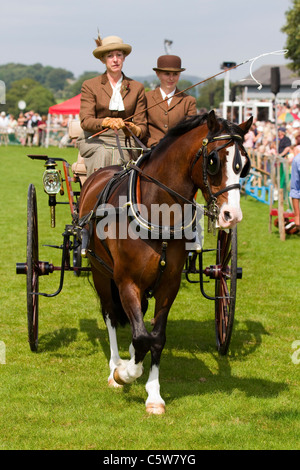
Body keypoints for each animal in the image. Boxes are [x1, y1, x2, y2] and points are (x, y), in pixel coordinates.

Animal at [78, 110, 252, 414]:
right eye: (214, 160)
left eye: (244, 165)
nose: (232, 215)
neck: (156, 213)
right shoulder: (126, 281)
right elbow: (139, 336)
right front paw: (124, 373)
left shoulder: (168, 284)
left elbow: (155, 337)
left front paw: (154, 395)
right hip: (101, 272)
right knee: (110, 314)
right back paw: (115, 365)